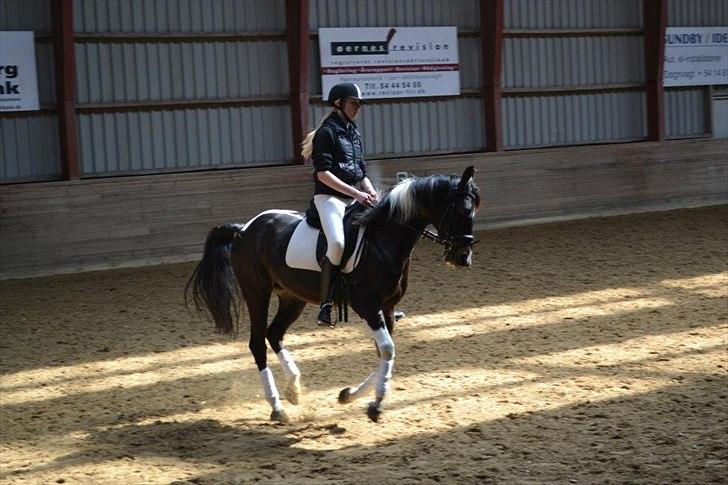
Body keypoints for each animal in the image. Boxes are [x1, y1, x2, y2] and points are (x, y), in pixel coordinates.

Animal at [186, 166, 480, 423]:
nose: (463, 258)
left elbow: (385, 353)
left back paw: (294, 390)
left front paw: (348, 395)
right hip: (256, 291)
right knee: (258, 342)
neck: (383, 241)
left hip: (292, 297)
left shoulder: (386, 308)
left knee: (274, 334)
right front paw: (375, 404)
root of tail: (244, 229)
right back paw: (278, 407)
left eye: (474, 211)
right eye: (461, 210)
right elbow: (387, 349)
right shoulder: (368, 306)